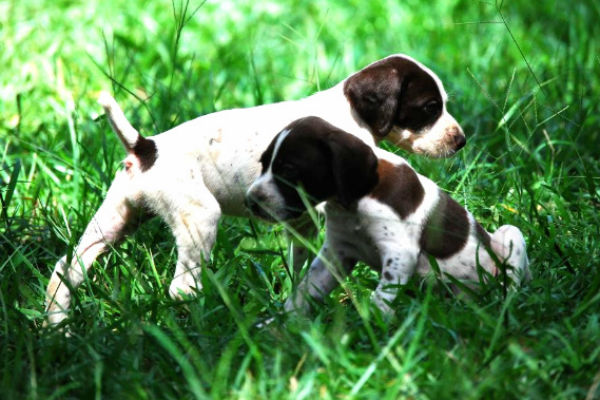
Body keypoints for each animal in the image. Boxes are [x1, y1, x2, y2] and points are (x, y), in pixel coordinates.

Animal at [47, 54, 466, 326]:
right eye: (429, 107)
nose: (461, 140)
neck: (347, 112)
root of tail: (146, 147)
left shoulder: (302, 220)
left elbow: (302, 262)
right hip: (199, 217)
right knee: (181, 286)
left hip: (115, 219)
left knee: (67, 269)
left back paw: (56, 325)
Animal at [246, 116, 532, 316]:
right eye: (263, 164)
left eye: (289, 170)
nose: (250, 201)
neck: (355, 202)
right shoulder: (338, 252)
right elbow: (305, 290)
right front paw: (282, 323)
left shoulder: (399, 253)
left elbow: (379, 299)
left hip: (511, 234)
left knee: (511, 283)